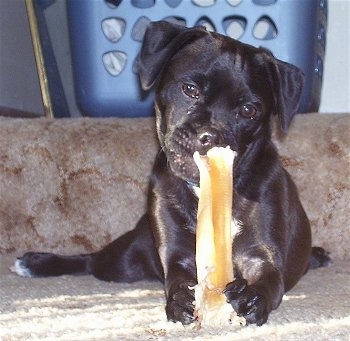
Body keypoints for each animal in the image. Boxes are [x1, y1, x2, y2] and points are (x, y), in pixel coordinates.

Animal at [13, 21, 330, 324]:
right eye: (190, 89)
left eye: (249, 110)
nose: (210, 137)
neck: (205, 189)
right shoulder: (177, 254)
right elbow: (178, 280)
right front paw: (179, 302)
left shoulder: (259, 253)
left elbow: (268, 278)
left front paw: (252, 298)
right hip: (124, 260)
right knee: (90, 260)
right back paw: (35, 263)